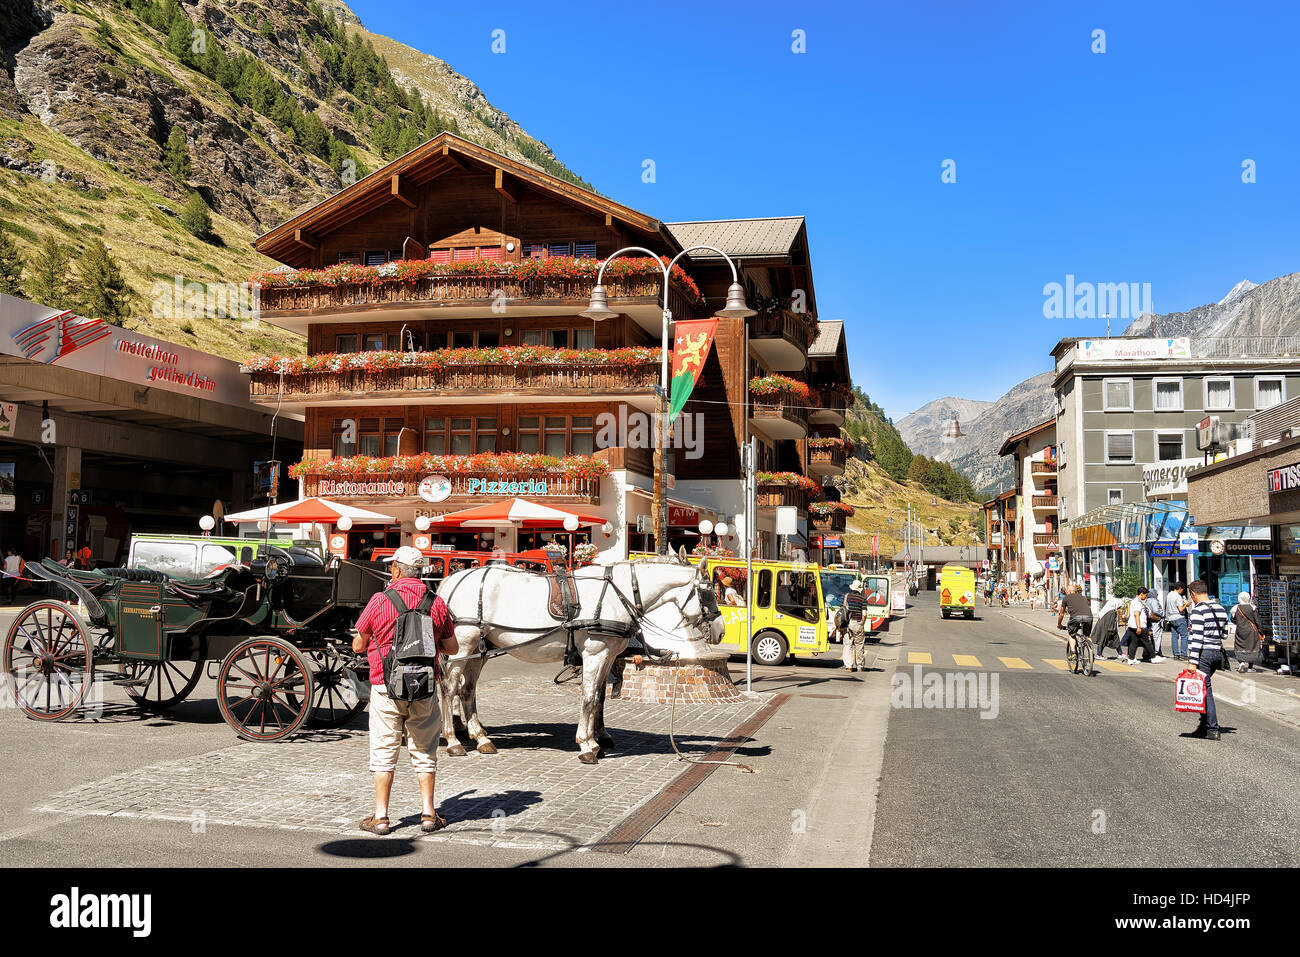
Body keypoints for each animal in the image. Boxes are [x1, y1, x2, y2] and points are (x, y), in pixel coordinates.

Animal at [434, 553, 722, 764]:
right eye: (709, 593)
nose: (720, 631)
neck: (618, 594)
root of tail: (450, 581)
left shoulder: (607, 656)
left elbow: (598, 699)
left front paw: (596, 740)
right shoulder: (595, 653)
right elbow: (589, 698)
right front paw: (587, 745)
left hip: (479, 649)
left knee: (467, 690)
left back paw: (480, 738)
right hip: (463, 646)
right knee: (449, 689)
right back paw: (453, 741)